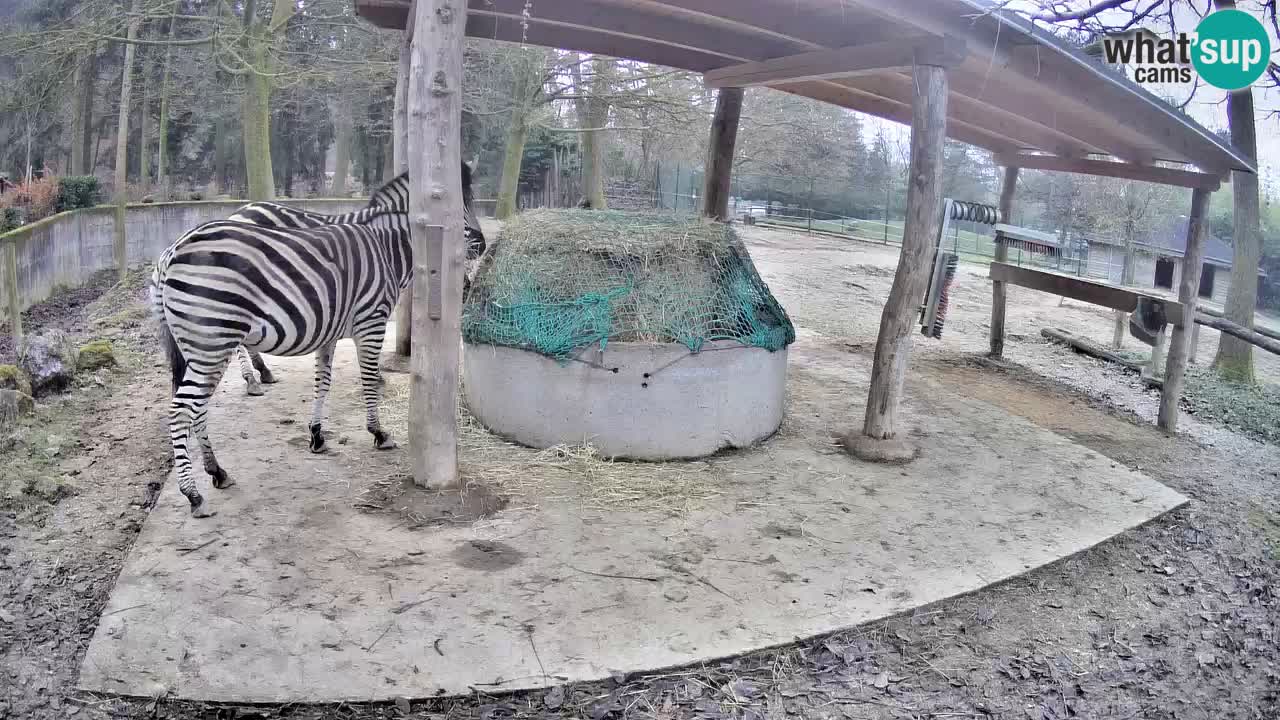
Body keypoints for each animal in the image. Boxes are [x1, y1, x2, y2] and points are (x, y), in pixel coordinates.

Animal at [222, 166, 487, 396]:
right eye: (456, 207)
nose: (482, 245)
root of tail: (241, 211)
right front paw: (376, 376)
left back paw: (262, 372)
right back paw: (252, 379)